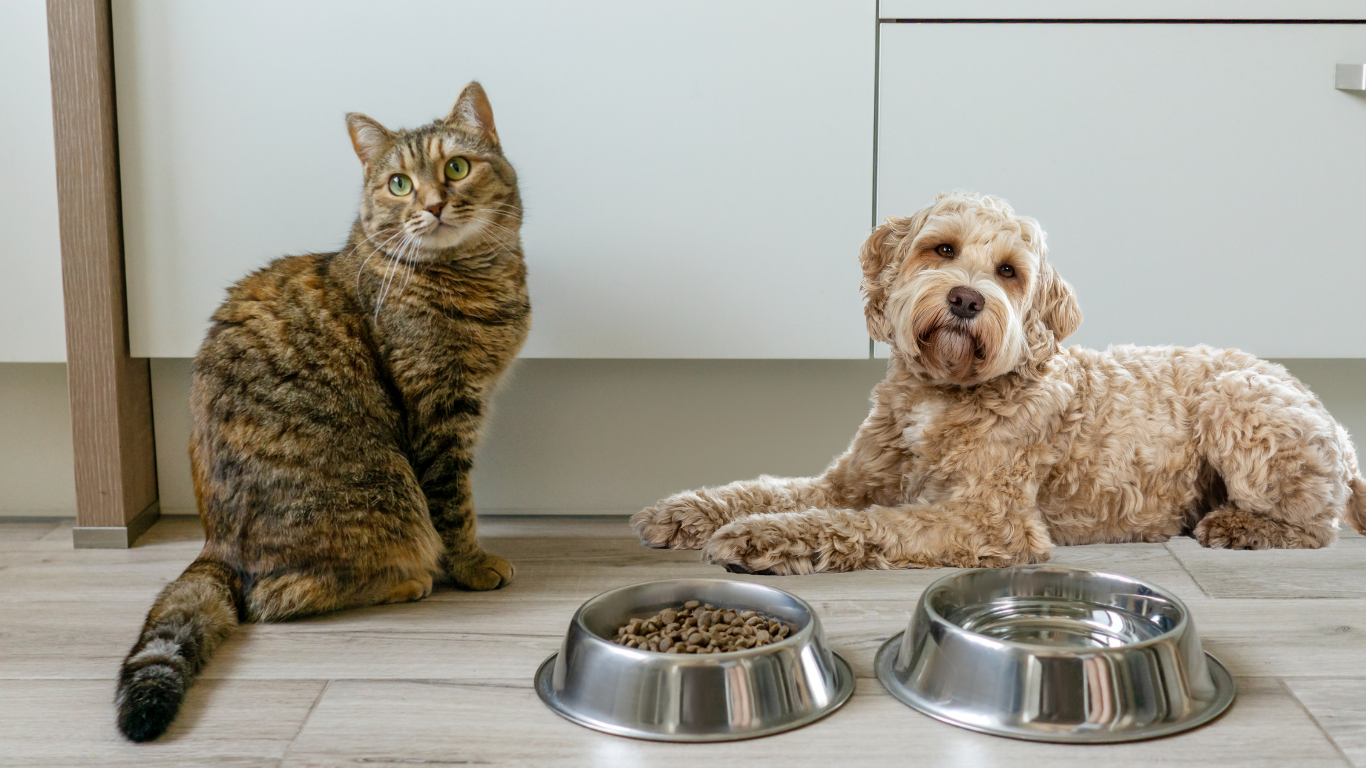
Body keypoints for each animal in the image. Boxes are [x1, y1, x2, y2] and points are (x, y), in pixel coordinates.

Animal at [114, 82, 527, 737]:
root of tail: (214, 543)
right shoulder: (439, 415)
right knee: (273, 599)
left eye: (457, 168)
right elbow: (453, 506)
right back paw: (406, 580)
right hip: (387, 489)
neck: (473, 277)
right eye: (399, 184)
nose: (434, 204)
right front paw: (471, 565)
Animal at [628, 191, 1366, 571]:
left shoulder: (989, 518)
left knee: (1317, 526)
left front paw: (762, 538)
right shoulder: (853, 480)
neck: (942, 393)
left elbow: (864, 524)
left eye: (1009, 271)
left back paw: (1240, 528)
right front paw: (686, 511)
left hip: (1241, 409)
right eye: (943, 249)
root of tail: (1331, 417)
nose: (965, 299)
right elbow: (772, 489)